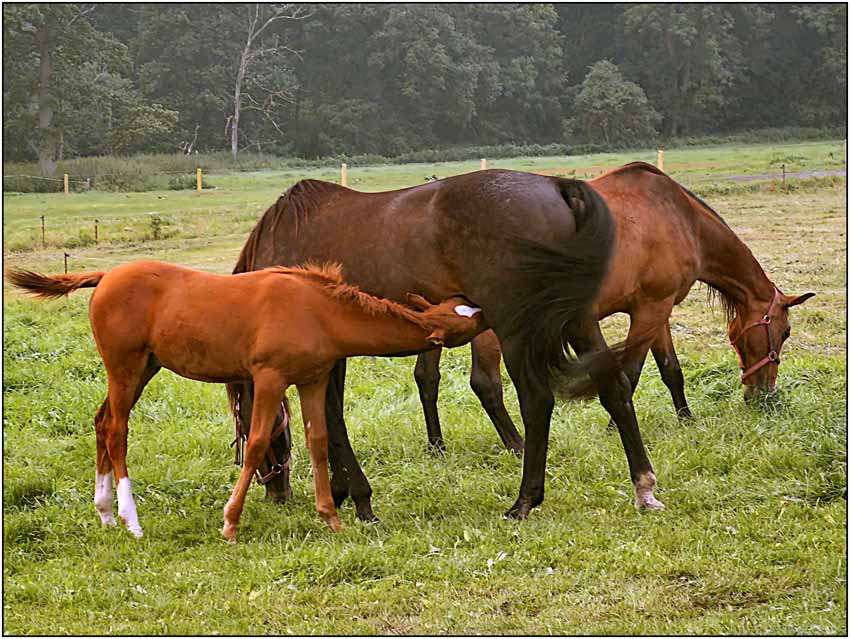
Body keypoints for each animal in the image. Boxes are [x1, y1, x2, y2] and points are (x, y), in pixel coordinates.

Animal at [6, 260, 486, 540]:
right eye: (465, 321)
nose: (488, 313)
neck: (318, 310)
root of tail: (106, 276)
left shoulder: (312, 380)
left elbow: (317, 443)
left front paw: (331, 518)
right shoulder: (269, 378)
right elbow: (255, 444)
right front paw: (230, 522)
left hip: (145, 368)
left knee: (101, 421)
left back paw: (105, 514)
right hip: (124, 365)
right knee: (117, 429)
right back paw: (131, 519)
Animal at [232, 168, 668, 524]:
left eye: (249, 425)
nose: (277, 493)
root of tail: (559, 188)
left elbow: (331, 418)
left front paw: (358, 499)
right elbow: (327, 417)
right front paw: (343, 494)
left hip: (518, 329)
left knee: (537, 402)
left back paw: (524, 501)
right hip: (577, 320)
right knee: (614, 387)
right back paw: (643, 487)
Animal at [414, 164, 812, 456]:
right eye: (784, 332)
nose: (763, 395)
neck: (681, 217)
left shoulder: (658, 310)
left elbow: (671, 370)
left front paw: (686, 418)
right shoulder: (651, 308)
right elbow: (632, 371)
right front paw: (614, 427)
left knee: (427, 378)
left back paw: (437, 447)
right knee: (485, 383)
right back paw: (517, 446)